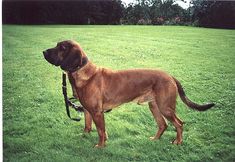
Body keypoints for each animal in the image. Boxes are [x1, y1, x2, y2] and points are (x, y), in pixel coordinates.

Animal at [43, 40, 215, 148]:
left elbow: (101, 132)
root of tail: (170, 76)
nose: (44, 51)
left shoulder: (97, 112)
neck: (83, 73)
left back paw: (178, 142)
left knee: (179, 124)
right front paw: (85, 136)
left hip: (165, 107)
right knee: (163, 125)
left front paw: (100, 146)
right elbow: (87, 126)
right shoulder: (87, 110)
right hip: (154, 106)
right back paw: (155, 139)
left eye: (62, 48)